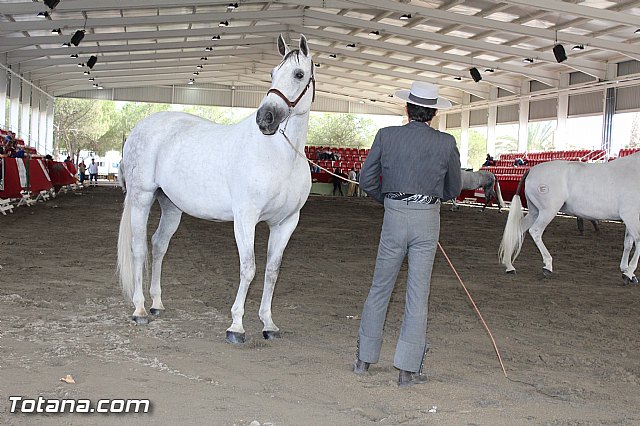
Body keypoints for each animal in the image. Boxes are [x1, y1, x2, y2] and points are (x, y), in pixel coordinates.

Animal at [117, 34, 316, 343]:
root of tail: (140, 128)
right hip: (141, 197)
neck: (279, 156)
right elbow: (249, 268)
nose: (265, 118)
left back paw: (157, 304)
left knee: (159, 245)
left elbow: (272, 271)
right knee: (139, 248)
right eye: (272, 73)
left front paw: (268, 324)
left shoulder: (285, 222)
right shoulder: (245, 219)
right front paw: (236, 326)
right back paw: (139, 310)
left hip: (171, 206)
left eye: (298, 74)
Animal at [498, 153, 640, 285]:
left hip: (535, 212)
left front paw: (627, 271)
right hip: (547, 211)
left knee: (518, 230)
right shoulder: (630, 216)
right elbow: (638, 242)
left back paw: (509, 266)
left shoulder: (630, 219)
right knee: (535, 231)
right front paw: (628, 274)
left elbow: (628, 244)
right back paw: (547, 266)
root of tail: (531, 170)